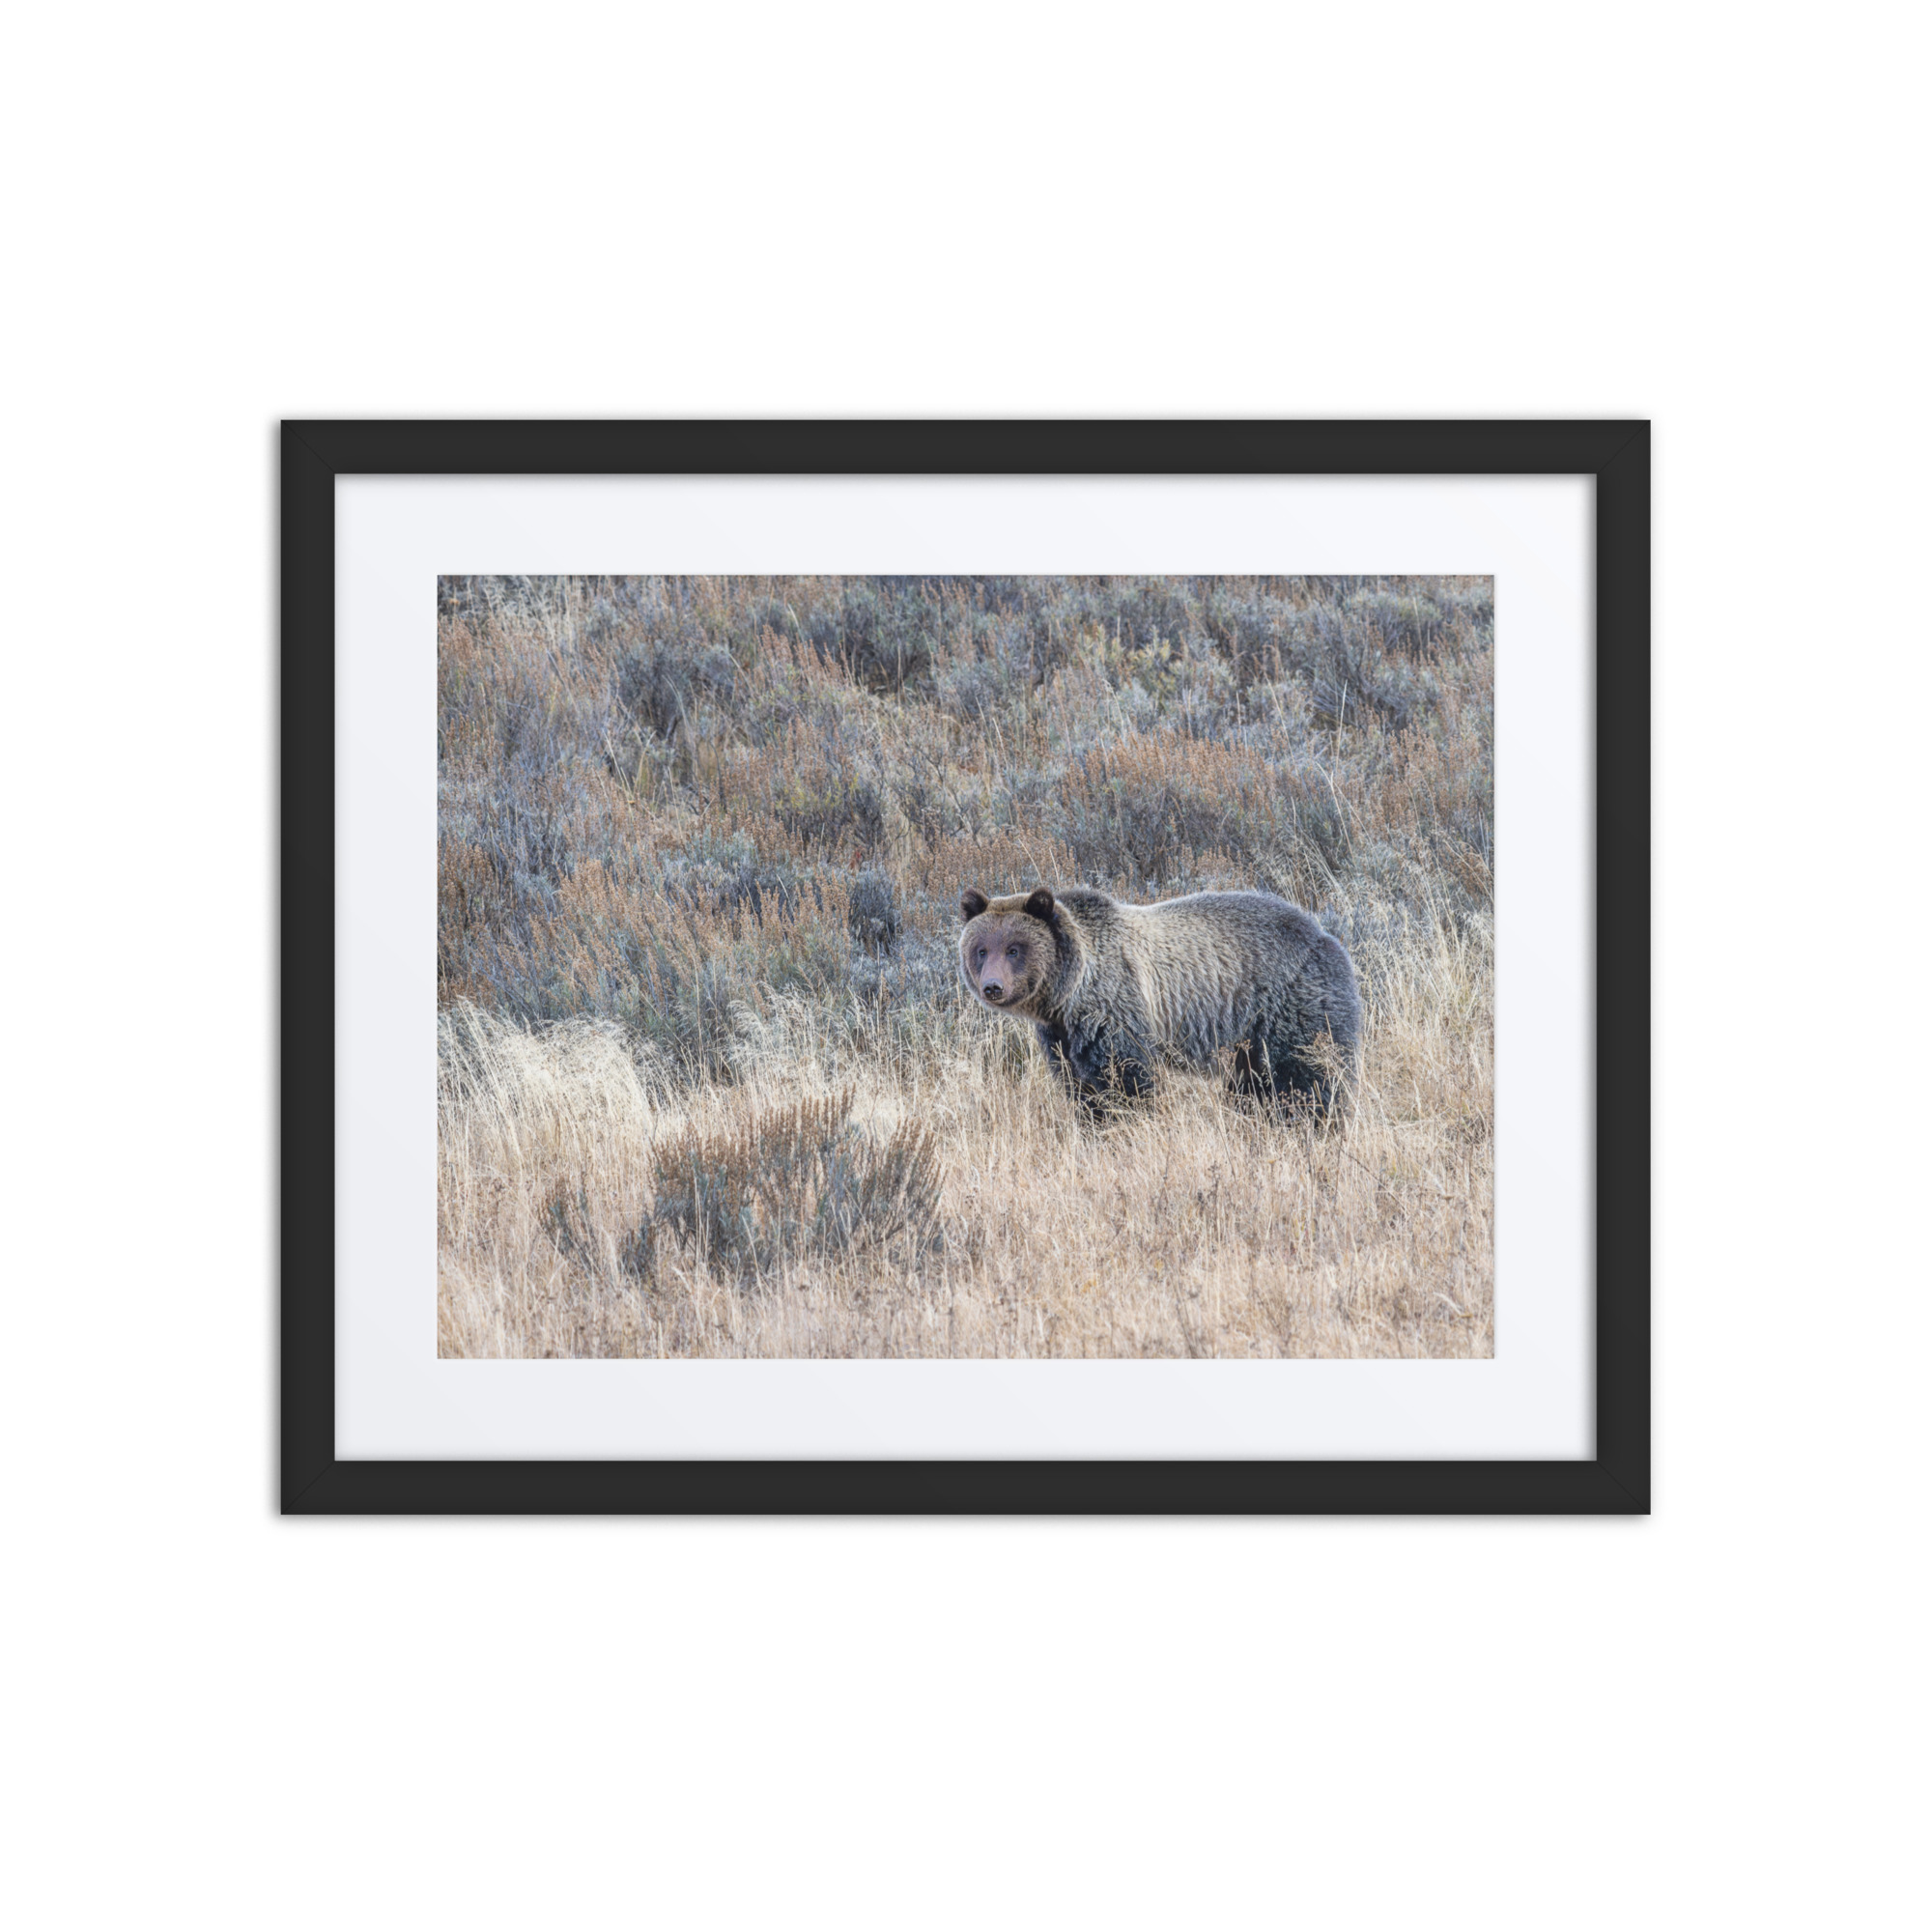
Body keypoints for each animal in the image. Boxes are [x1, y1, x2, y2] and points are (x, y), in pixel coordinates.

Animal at [958, 883, 1361, 1116]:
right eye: (981, 950)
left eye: (1014, 948)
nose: (993, 987)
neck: (1069, 994)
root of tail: (1326, 935)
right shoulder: (1061, 1037)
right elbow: (1080, 1087)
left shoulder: (1115, 1010)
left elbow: (1127, 1081)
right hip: (1248, 1040)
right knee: (1252, 1086)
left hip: (1292, 1004)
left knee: (1308, 1076)